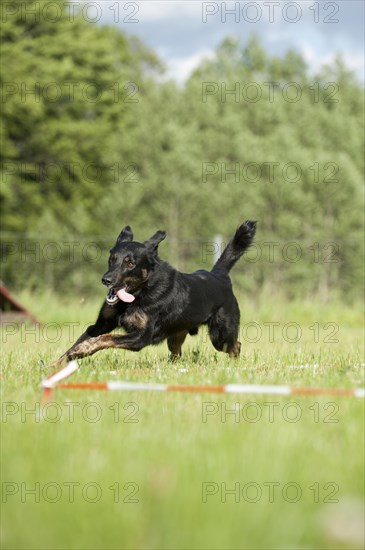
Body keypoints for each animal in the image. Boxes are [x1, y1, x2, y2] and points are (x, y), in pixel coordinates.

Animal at [54, 220, 256, 366]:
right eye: (112, 259)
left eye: (130, 263)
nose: (106, 280)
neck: (140, 292)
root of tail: (219, 275)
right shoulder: (100, 325)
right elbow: (76, 345)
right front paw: (56, 366)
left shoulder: (140, 337)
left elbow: (106, 338)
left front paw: (86, 347)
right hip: (176, 334)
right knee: (177, 353)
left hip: (220, 335)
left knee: (235, 345)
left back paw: (234, 366)